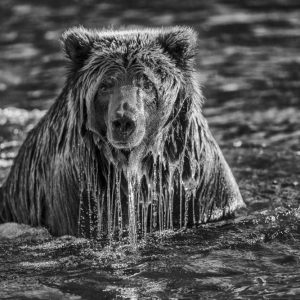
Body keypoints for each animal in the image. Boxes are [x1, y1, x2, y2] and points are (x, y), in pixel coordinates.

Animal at [0, 27, 244, 240]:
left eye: (146, 83)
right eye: (105, 85)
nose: (124, 121)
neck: (135, 168)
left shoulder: (197, 189)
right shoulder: (82, 195)